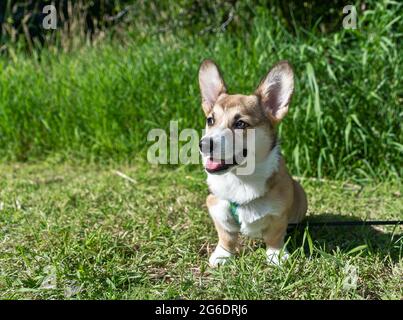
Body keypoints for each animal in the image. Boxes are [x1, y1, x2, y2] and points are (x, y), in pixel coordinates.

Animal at [197, 58, 308, 266]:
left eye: (240, 124)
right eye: (210, 120)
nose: (203, 144)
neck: (241, 178)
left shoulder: (278, 213)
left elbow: (274, 236)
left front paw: (276, 256)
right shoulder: (216, 206)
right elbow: (226, 235)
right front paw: (223, 254)